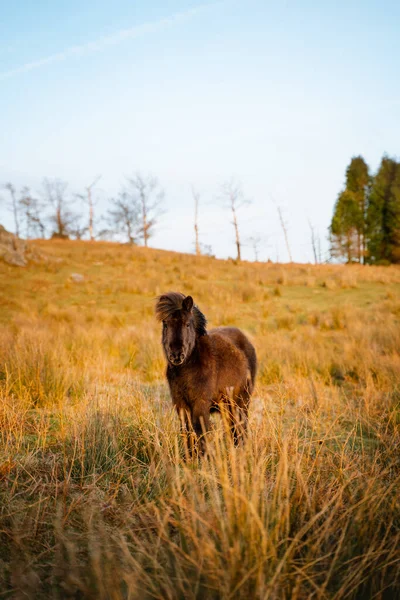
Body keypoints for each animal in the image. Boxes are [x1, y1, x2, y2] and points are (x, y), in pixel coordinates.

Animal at [155, 292, 258, 452]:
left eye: (187, 324)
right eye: (165, 324)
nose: (176, 355)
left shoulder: (200, 404)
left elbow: (200, 432)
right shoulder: (181, 404)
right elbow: (187, 431)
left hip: (242, 401)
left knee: (241, 428)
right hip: (227, 406)